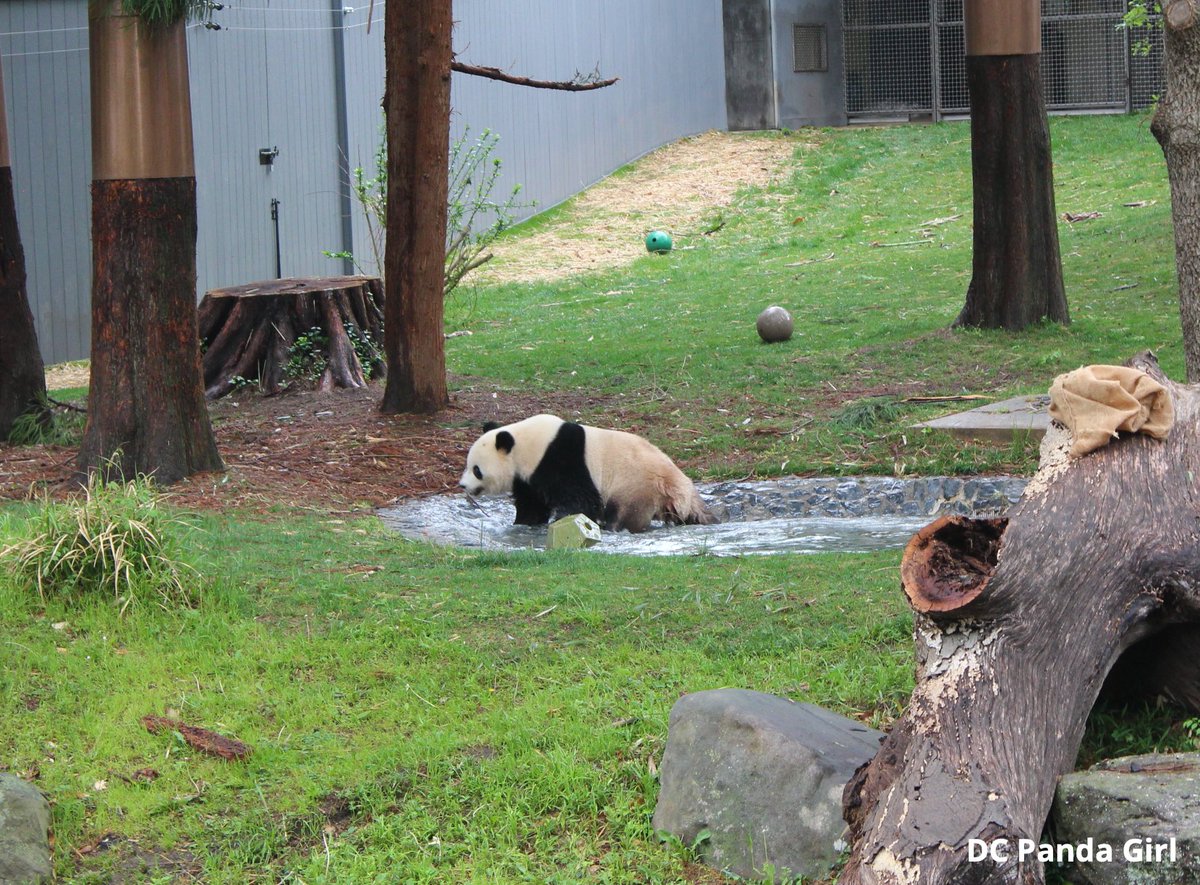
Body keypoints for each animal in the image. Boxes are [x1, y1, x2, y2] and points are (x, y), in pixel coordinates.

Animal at [459, 414, 717, 533]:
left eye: (477, 470)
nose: (462, 485)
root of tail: (675, 481)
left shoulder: (561, 459)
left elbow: (580, 499)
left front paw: (565, 521)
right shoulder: (529, 477)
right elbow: (532, 503)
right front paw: (524, 523)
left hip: (637, 484)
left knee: (625, 510)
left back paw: (612, 526)